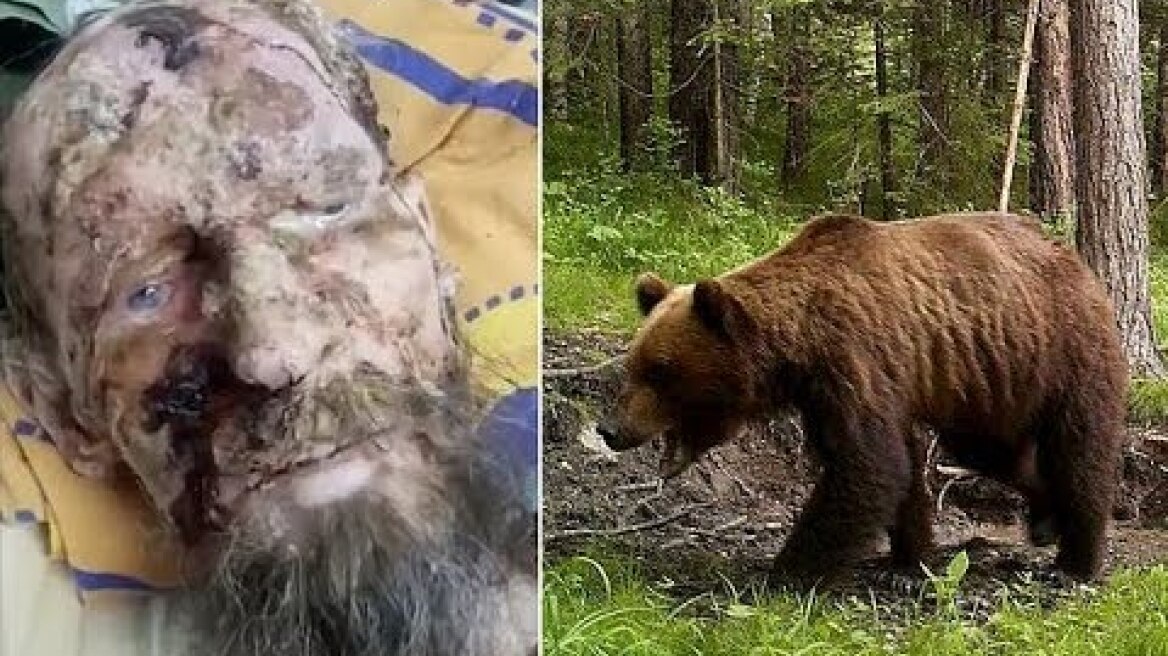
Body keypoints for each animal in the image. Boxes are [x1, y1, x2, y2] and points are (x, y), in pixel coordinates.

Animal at [597, 212, 1127, 586]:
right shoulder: (834, 390)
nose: (610, 429)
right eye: (633, 364)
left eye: (661, 371)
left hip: (1065, 349)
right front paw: (908, 561)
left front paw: (784, 574)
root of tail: (1077, 261)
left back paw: (1076, 560)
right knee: (994, 452)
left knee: (1079, 448)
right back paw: (1045, 519)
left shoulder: (853, 360)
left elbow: (867, 465)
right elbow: (896, 466)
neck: (798, 346)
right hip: (991, 380)